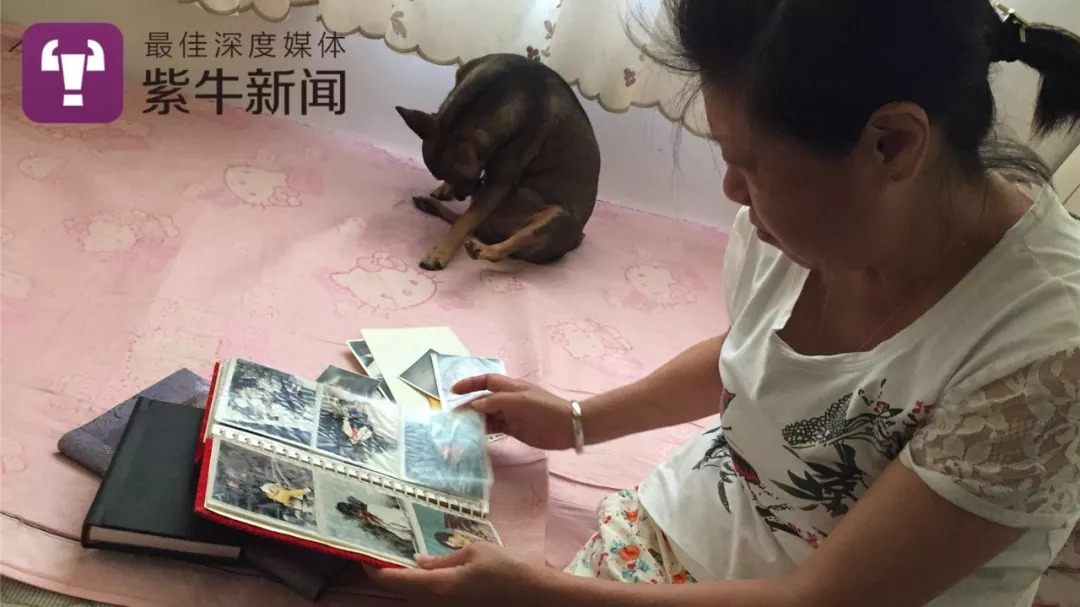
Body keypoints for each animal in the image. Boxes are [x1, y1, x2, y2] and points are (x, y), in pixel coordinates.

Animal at [395, 53, 601, 271]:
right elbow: (466, 218)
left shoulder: (498, 183)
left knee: (495, 243)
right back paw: (430, 206)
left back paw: (481, 249)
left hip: (556, 217)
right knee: (471, 224)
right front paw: (445, 189)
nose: (461, 195)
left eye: (467, 176)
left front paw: (440, 252)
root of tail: (575, 241)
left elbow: (466, 221)